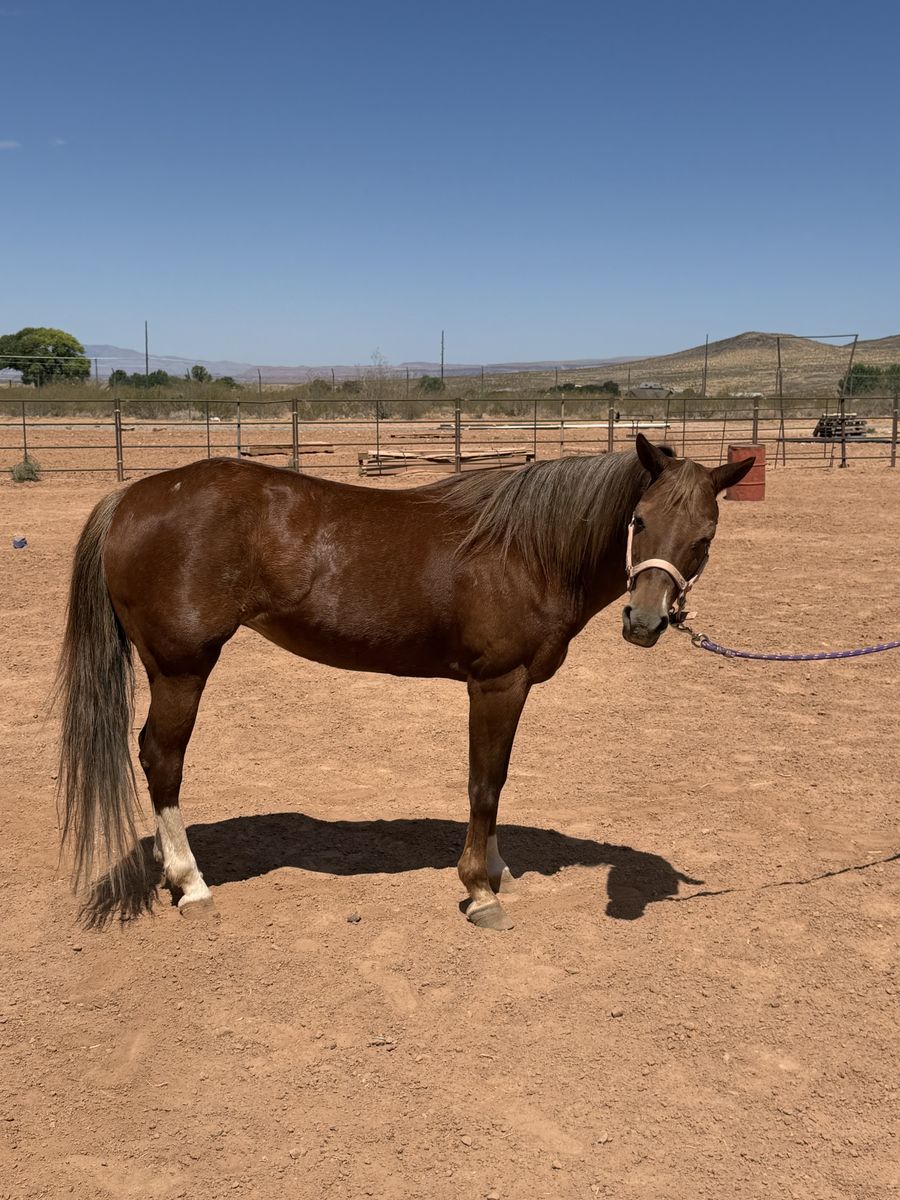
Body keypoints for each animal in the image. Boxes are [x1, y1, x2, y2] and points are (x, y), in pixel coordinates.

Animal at [57, 434, 753, 930]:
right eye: (638, 521)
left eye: (705, 537)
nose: (644, 621)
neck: (527, 552)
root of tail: (131, 499)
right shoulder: (496, 684)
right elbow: (484, 783)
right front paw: (480, 890)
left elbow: (496, 780)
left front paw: (497, 869)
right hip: (182, 667)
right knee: (162, 758)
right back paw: (191, 884)